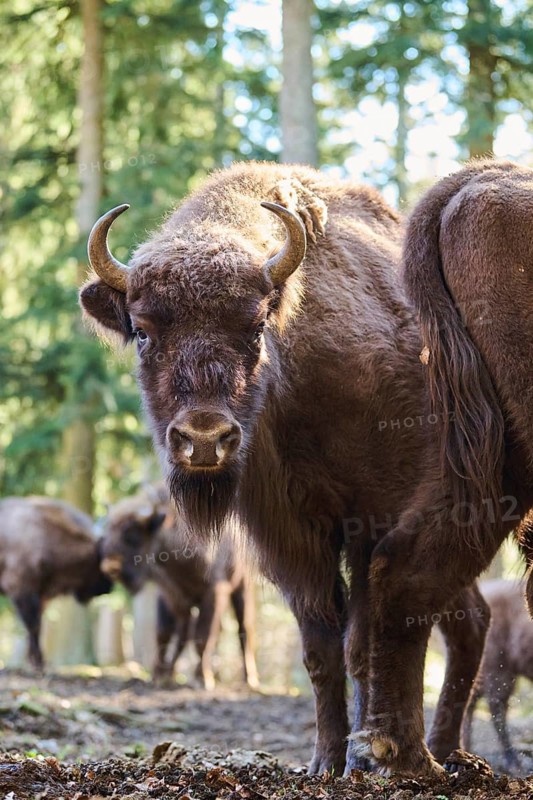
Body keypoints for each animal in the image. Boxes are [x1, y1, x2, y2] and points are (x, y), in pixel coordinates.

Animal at [0, 496, 112, 669]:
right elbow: (33, 626)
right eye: (101, 559)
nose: (107, 588)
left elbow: (37, 627)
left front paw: (35, 660)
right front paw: (38, 663)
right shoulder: (22, 591)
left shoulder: (41, 596)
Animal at [101, 487, 258, 689]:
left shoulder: (213, 593)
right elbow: (164, 633)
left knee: (244, 628)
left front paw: (202, 678)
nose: (109, 567)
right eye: (109, 529)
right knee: (184, 631)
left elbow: (203, 635)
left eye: (132, 533)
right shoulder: (168, 595)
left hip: (242, 587)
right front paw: (158, 675)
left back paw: (250, 679)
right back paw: (171, 672)